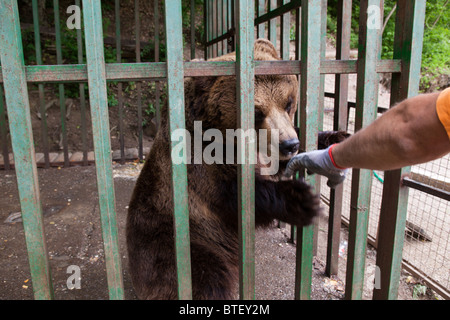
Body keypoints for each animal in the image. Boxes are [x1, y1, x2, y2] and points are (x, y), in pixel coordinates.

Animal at [126, 38, 348, 298]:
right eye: (257, 112)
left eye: (288, 103)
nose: (289, 145)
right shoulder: (199, 162)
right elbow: (236, 195)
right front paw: (301, 198)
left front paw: (336, 138)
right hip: (177, 241)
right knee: (206, 279)